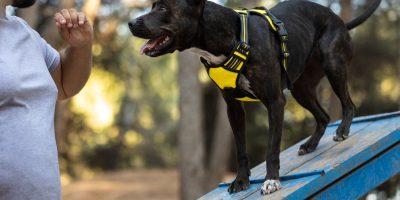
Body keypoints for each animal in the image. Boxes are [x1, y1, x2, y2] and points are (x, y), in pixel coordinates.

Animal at [128, 0, 382, 195]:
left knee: (349, 104)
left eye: (162, 8)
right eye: (152, 5)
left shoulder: (275, 103)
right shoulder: (233, 108)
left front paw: (271, 181)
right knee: (323, 116)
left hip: (333, 64)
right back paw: (310, 144)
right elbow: (240, 149)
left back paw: (342, 131)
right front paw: (241, 181)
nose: (131, 23)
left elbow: (271, 149)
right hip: (301, 88)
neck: (228, 38)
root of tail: (339, 20)